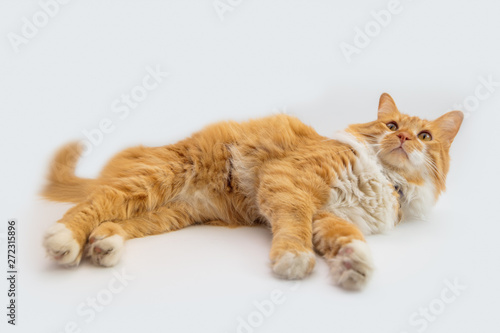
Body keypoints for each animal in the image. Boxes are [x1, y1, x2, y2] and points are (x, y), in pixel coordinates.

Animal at [41, 92, 462, 288]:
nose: (405, 138)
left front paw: (353, 263)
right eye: (391, 126)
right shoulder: (289, 183)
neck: (383, 177)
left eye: (424, 136)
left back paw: (103, 244)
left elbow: (347, 236)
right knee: (95, 203)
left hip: (168, 213)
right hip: (156, 179)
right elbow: (294, 226)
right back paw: (65, 239)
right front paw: (294, 258)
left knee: (118, 222)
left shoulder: (330, 215)